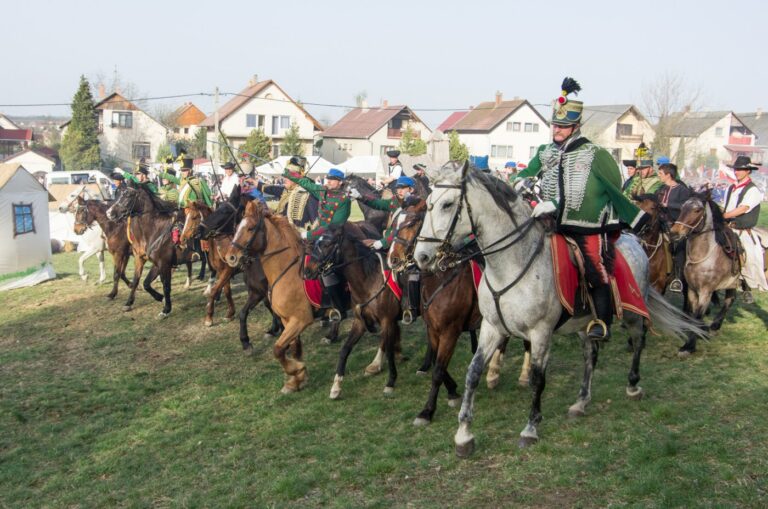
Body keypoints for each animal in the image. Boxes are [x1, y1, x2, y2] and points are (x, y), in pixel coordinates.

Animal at [668, 192, 740, 356]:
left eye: (697, 210)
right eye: (682, 207)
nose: (674, 233)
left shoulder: (706, 292)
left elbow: (698, 315)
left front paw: (689, 346)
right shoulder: (692, 290)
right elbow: (693, 314)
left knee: (729, 300)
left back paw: (714, 326)